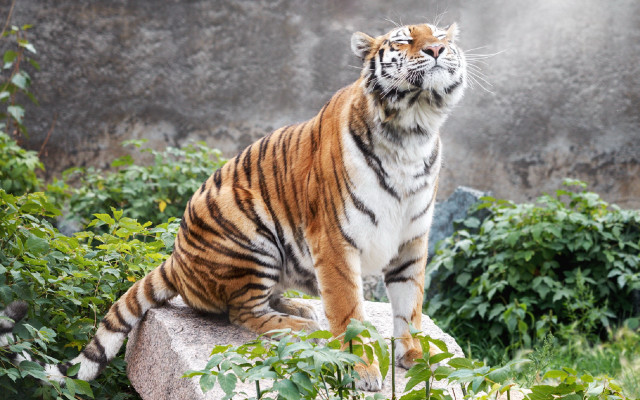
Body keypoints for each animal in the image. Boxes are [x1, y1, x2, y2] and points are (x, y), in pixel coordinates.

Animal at [1, 21, 467, 391]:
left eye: (441, 36)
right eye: (404, 39)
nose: (437, 50)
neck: (412, 131)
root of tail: (175, 259)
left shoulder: (411, 241)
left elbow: (410, 307)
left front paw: (418, 357)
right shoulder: (334, 240)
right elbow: (348, 311)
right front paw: (362, 369)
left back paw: (298, 308)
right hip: (251, 236)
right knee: (243, 313)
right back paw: (299, 325)